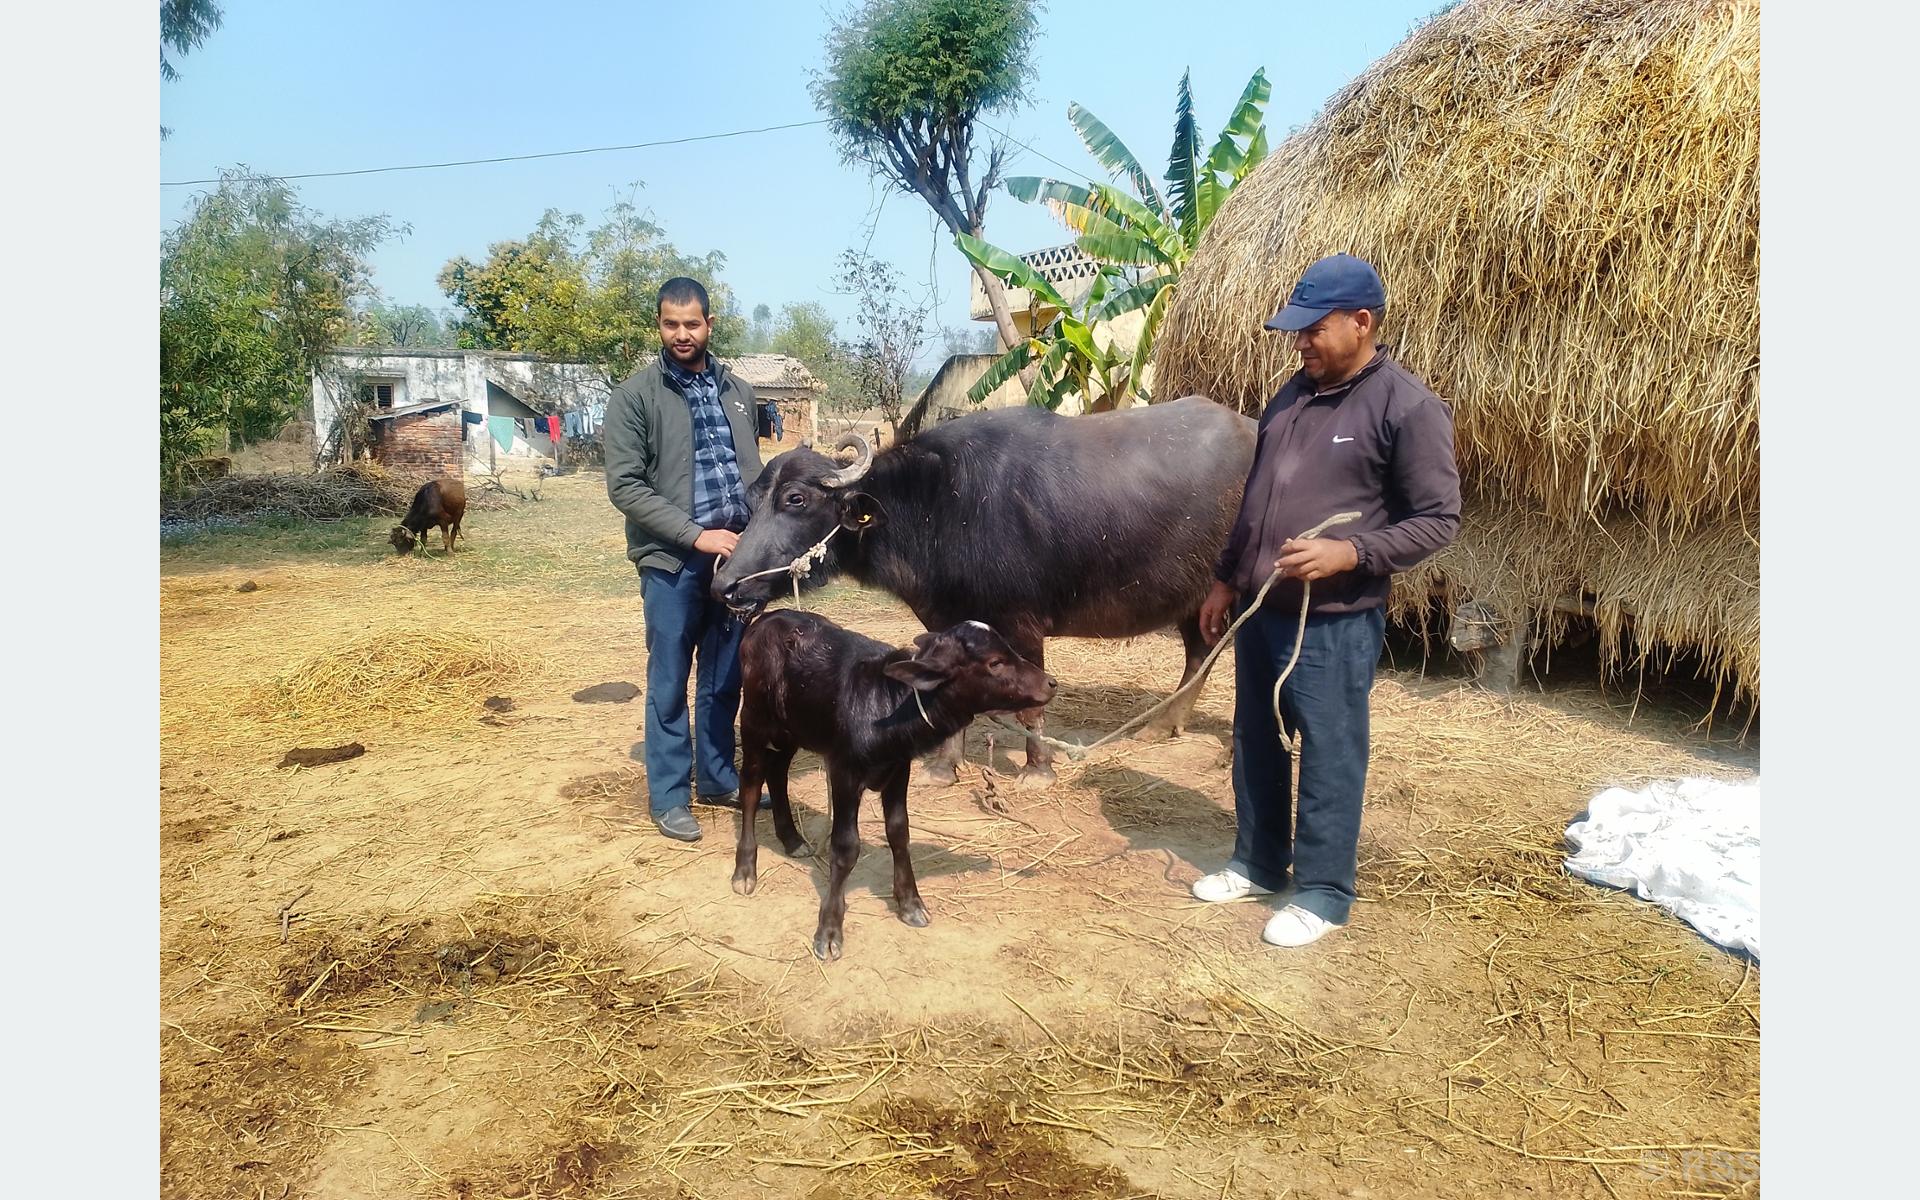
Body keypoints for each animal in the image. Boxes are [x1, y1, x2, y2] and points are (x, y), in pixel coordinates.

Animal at [714, 395, 1251, 787]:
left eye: (796, 499)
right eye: (753, 500)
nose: (725, 584)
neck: (941, 503)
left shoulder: (1023, 625)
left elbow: (1034, 703)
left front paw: (1038, 770)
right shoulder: (948, 621)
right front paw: (943, 767)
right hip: (1194, 596)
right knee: (1200, 650)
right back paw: (1162, 725)